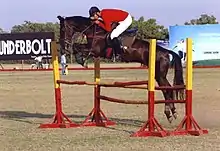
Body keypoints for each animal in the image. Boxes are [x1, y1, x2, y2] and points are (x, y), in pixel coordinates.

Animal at [57, 15, 185, 123]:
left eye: (63, 30)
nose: (63, 44)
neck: (95, 32)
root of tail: (166, 52)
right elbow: (77, 47)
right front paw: (79, 58)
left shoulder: (95, 50)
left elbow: (77, 47)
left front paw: (80, 59)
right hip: (158, 75)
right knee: (166, 89)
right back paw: (172, 112)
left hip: (159, 75)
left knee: (167, 89)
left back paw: (170, 113)